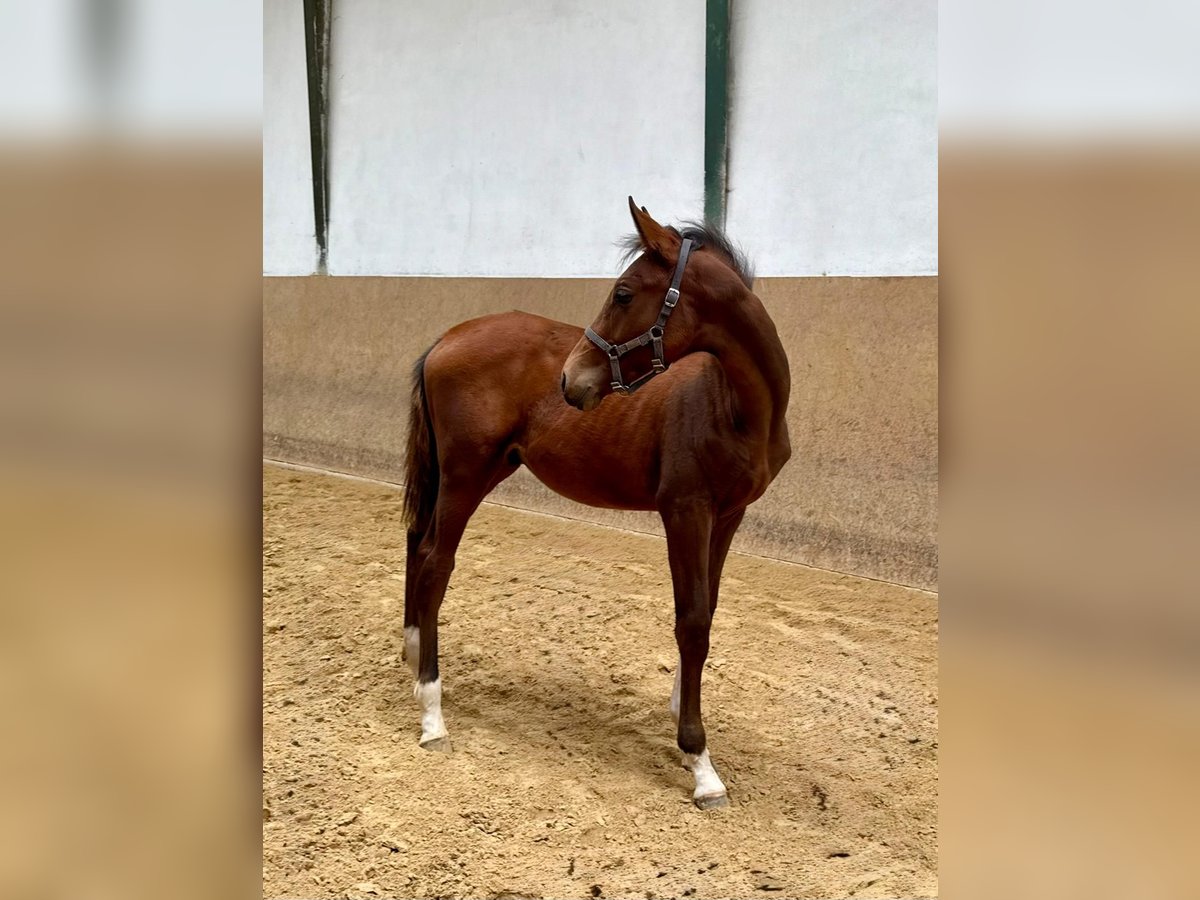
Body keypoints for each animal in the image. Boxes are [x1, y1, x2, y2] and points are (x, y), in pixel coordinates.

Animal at [400, 198, 791, 808]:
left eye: (624, 293)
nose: (571, 380)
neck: (731, 405)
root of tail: (447, 337)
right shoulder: (685, 510)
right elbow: (691, 621)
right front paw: (700, 762)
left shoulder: (728, 515)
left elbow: (707, 611)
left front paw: (681, 714)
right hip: (467, 474)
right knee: (437, 562)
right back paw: (433, 715)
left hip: (460, 472)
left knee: (417, 544)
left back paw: (415, 656)